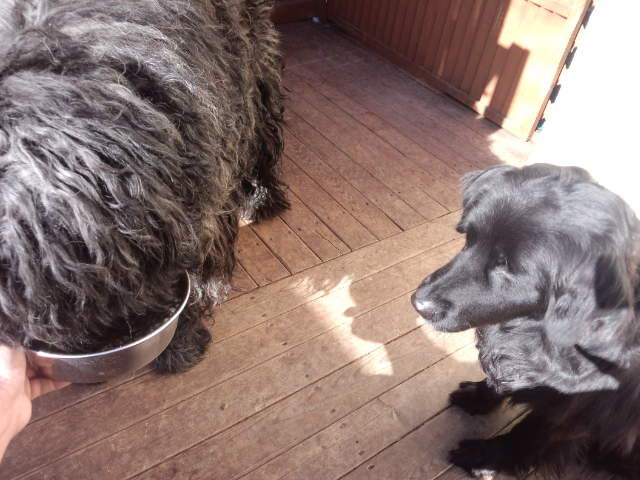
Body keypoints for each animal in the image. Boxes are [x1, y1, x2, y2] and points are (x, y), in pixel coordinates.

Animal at [412, 164, 640, 478]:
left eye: (506, 266)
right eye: (468, 238)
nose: (418, 303)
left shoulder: (576, 410)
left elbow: (529, 433)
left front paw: (483, 456)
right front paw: (477, 396)